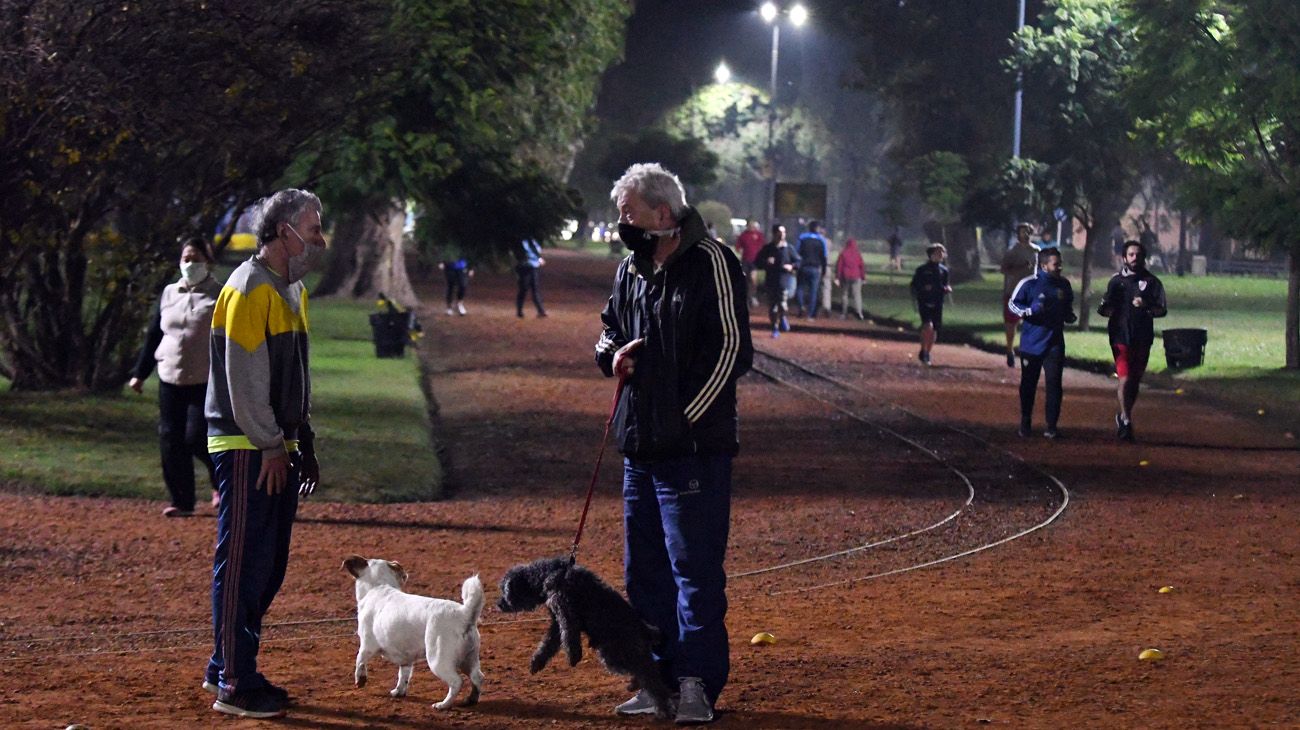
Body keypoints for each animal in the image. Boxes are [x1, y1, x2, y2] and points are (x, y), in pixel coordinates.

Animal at [496, 555, 676, 717]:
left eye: (505, 591)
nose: (498, 604)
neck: (550, 574)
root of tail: (644, 628)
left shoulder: (566, 612)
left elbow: (569, 636)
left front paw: (573, 656)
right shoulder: (556, 621)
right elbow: (548, 643)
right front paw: (536, 663)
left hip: (616, 653)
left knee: (651, 679)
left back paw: (663, 710)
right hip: (617, 655)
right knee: (646, 673)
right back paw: (636, 687)